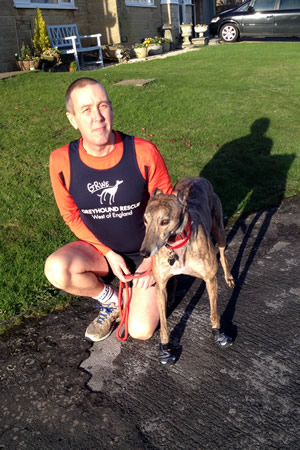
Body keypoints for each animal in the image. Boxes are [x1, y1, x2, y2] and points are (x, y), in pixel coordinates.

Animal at [139, 177, 236, 366]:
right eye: (145, 220)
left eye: (164, 221)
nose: (144, 253)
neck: (178, 245)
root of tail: (197, 178)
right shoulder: (160, 286)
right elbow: (163, 324)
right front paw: (165, 349)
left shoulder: (210, 279)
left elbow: (214, 313)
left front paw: (218, 333)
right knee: (175, 278)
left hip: (219, 229)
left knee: (222, 253)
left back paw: (228, 277)